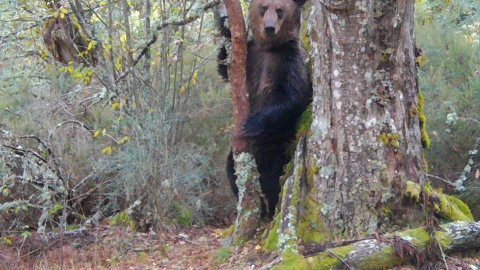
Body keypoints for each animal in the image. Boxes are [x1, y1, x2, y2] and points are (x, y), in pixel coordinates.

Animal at [218, 0, 312, 217]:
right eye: (263, 7)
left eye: (280, 10)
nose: (269, 28)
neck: (270, 48)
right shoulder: (251, 57)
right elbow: (224, 67)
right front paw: (225, 25)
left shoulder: (290, 61)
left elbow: (294, 97)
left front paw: (252, 124)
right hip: (238, 154)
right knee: (231, 170)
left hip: (279, 146)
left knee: (274, 178)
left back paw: (269, 210)